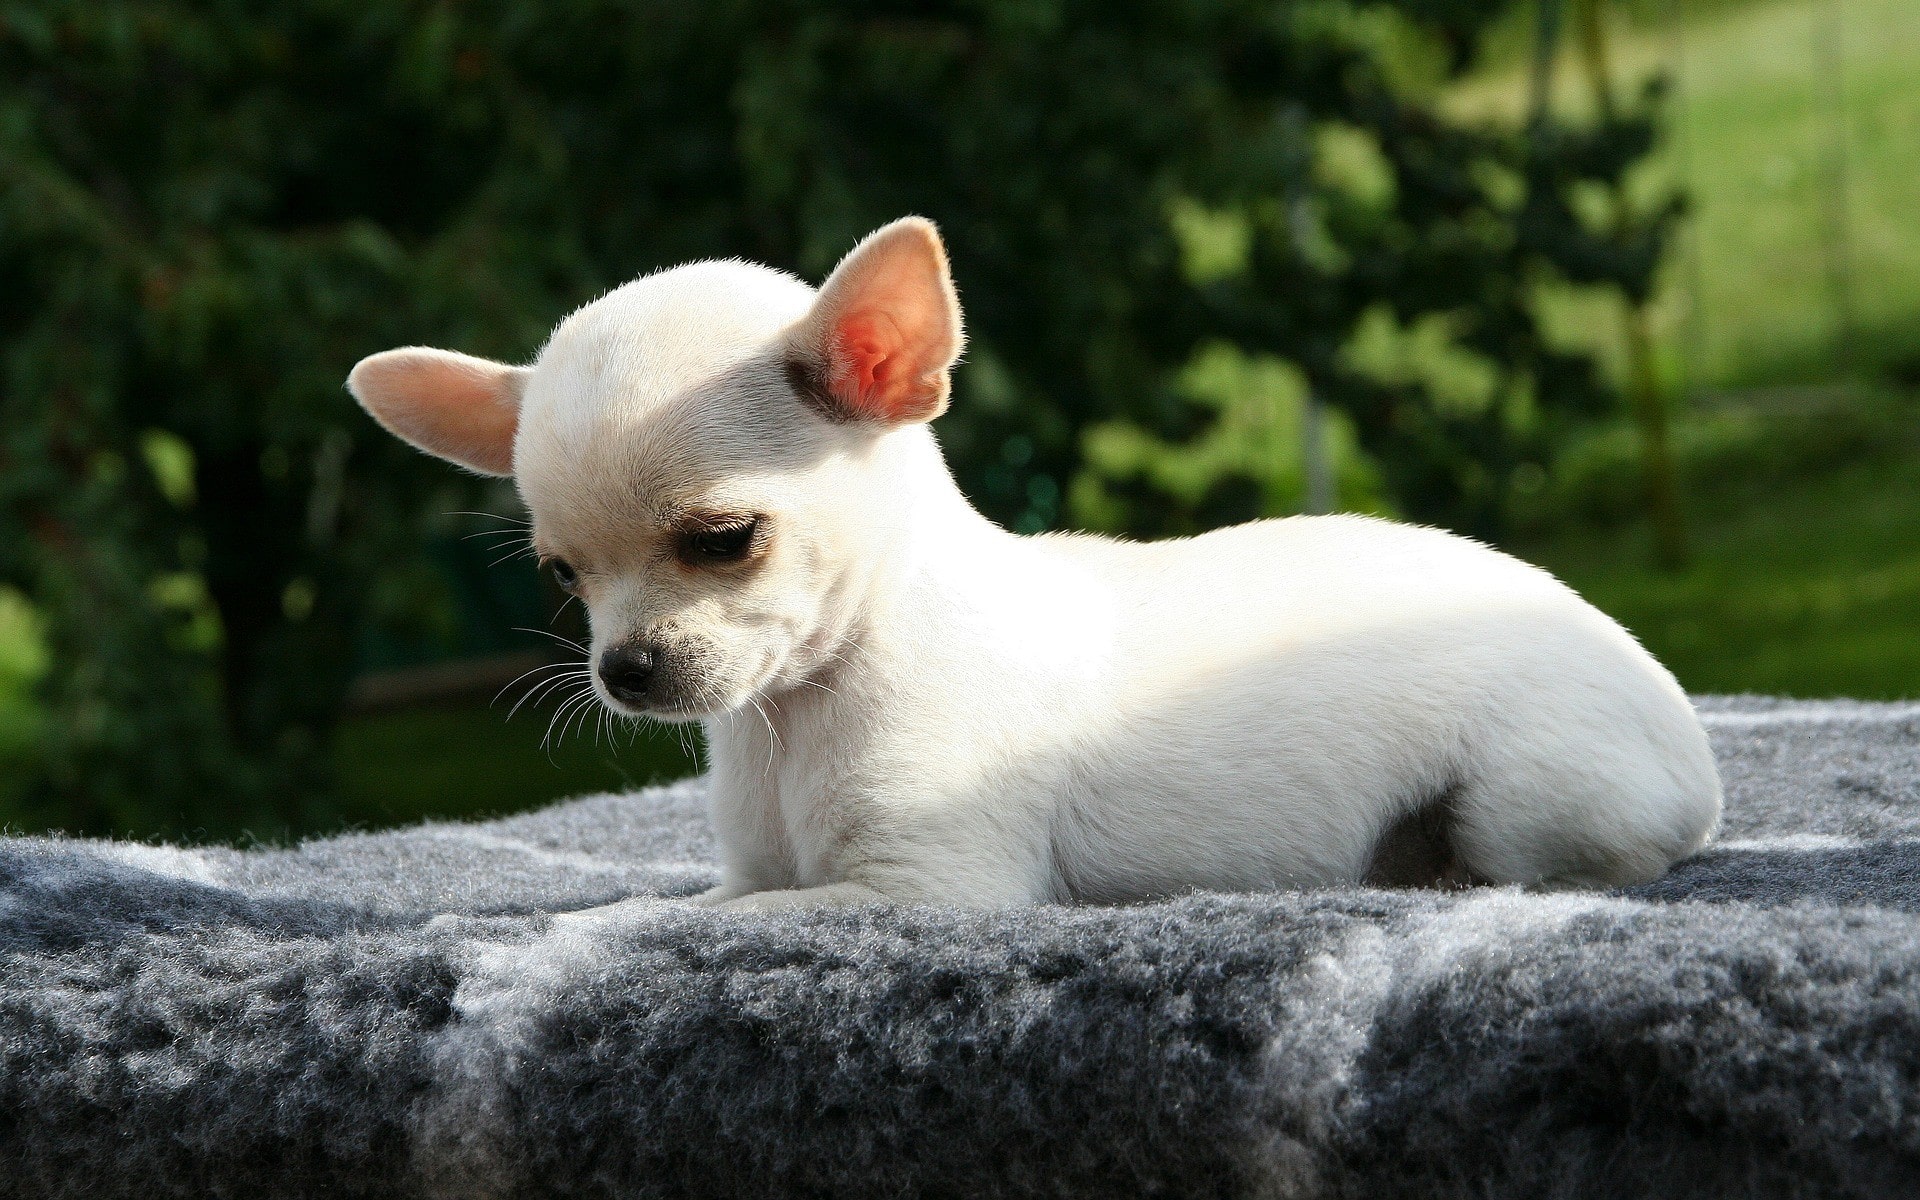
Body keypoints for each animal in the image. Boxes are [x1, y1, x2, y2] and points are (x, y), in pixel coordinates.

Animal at [349, 215, 1728, 906]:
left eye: (721, 543)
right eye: (563, 578)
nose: (623, 670)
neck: (798, 721)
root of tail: (1688, 740)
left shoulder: (921, 892)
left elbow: (684, 920)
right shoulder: (762, 866)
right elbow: (687, 903)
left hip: (1530, 799)